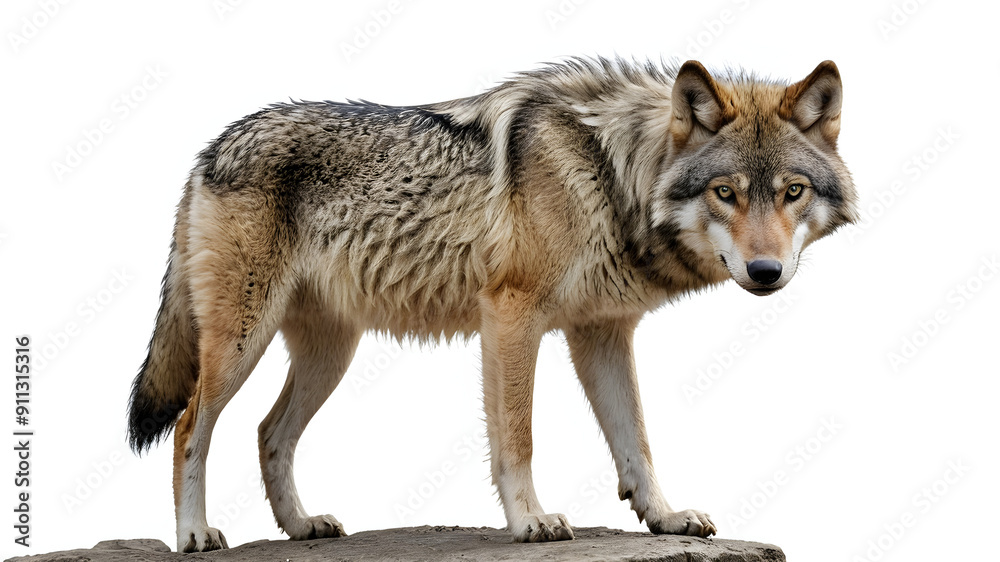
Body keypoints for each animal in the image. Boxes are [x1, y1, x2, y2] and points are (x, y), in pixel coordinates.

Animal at [127, 57, 857, 552]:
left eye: (791, 192)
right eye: (725, 193)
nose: (766, 271)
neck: (614, 170)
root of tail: (209, 149)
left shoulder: (602, 333)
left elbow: (637, 443)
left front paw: (665, 518)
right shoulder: (510, 315)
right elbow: (518, 436)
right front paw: (531, 520)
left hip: (330, 354)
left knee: (267, 431)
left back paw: (303, 526)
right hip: (240, 343)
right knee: (191, 426)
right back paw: (194, 535)